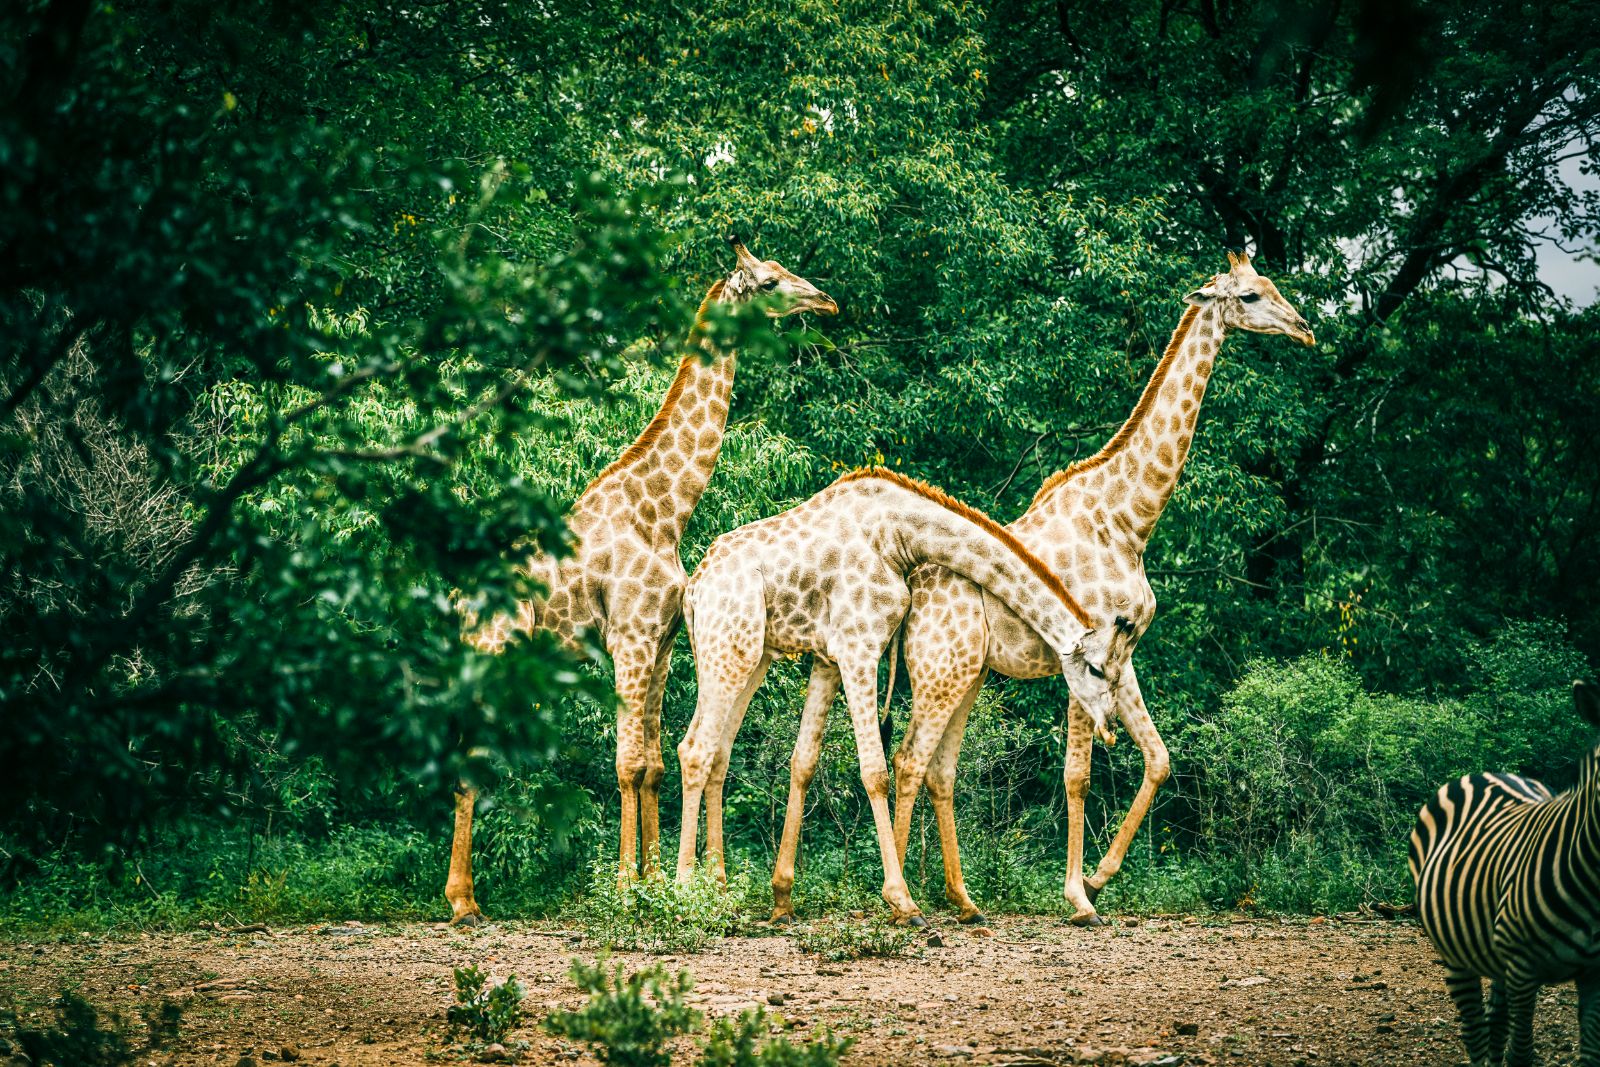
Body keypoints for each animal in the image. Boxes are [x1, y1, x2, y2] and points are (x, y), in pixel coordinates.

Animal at [445, 235, 836, 925]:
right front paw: (628, 887)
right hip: (492, 650)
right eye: (768, 281)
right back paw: (463, 900)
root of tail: (460, 597)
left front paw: (654, 879)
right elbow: (627, 763)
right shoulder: (626, 635)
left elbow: (652, 763)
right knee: (469, 751)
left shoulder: (660, 641)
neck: (664, 509)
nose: (825, 300)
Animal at [674, 467, 1116, 925]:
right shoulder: (858, 646)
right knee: (695, 749)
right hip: (730, 649)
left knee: (718, 752)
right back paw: (685, 891)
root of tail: (694, 588)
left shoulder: (828, 657)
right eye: (1098, 669)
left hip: (751, 653)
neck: (899, 535)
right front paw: (903, 901)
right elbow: (875, 771)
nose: (1110, 728)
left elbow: (804, 762)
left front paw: (782, 898)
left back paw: (719, 889)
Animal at [769, 252, 1314, 926]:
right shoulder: (1085, 663)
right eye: (1250, 295)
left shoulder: (1125, 657)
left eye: (1271, 285)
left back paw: (962, 900)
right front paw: (1080, 898)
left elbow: (1159, 760)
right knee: (910, 761)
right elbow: (1078, 776)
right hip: (940, 670)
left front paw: (1101, 879)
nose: (1305, 329)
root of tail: (911, 584)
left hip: (970, 673)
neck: (1129, 518)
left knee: (939, 769)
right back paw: (901, 900)